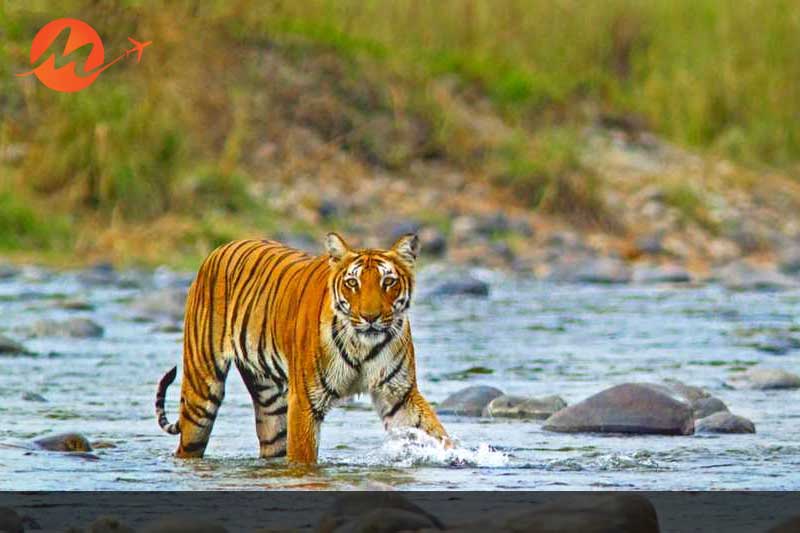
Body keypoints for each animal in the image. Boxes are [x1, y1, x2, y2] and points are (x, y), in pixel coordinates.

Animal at [155, 232, 449, 463]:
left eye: (388, 282)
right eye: (352, 283)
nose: (370, 317)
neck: (362, 345)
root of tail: (219, 248)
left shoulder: (399, 394)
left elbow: (435, 433)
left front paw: (455, 457)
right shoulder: (305, 401)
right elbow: (303, 458)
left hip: (271, 404)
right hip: (201, 393)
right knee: (188, 443)